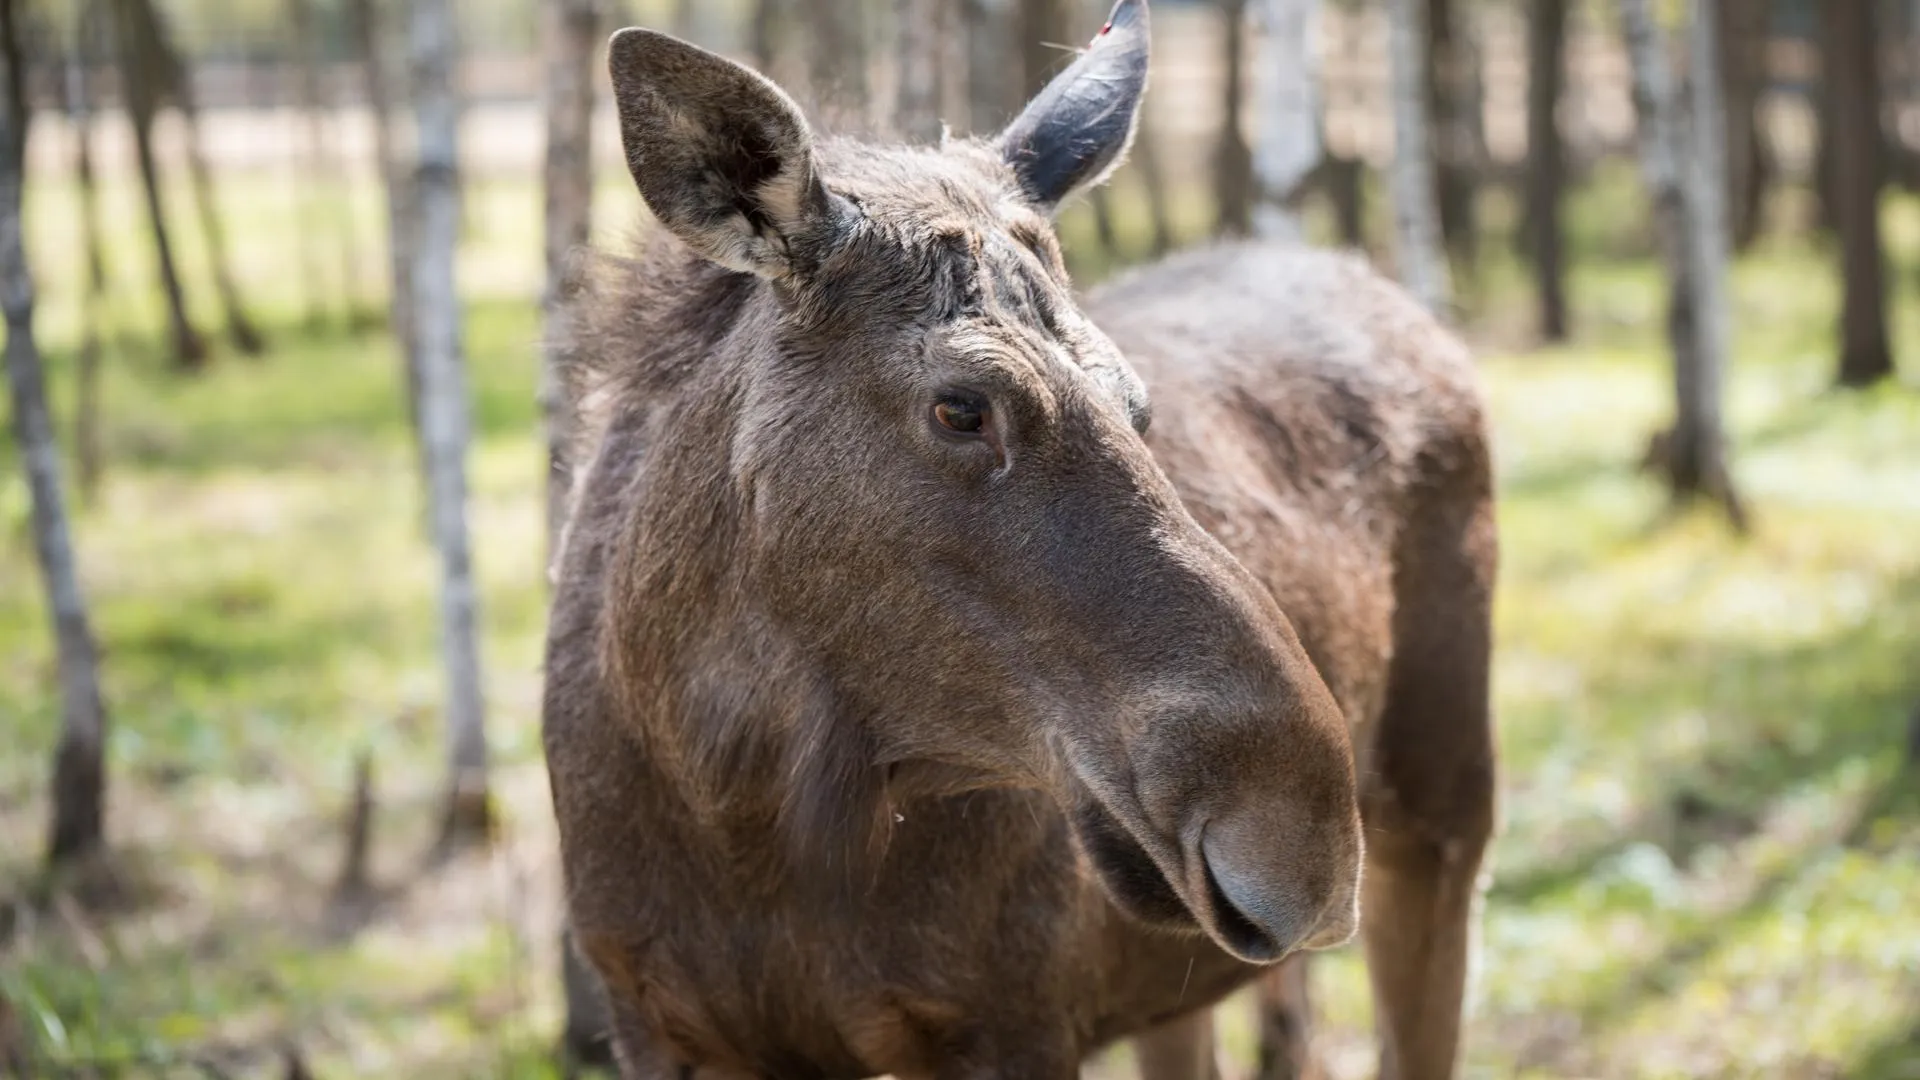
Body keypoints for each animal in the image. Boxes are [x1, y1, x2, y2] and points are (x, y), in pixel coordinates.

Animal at [545, 4, 1497, 1068]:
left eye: (1137, 404)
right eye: (962, 407)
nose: (1307, 841)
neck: (731, 806)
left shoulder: (1009, 1020)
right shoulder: (654, 1021)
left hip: (1444, 819)